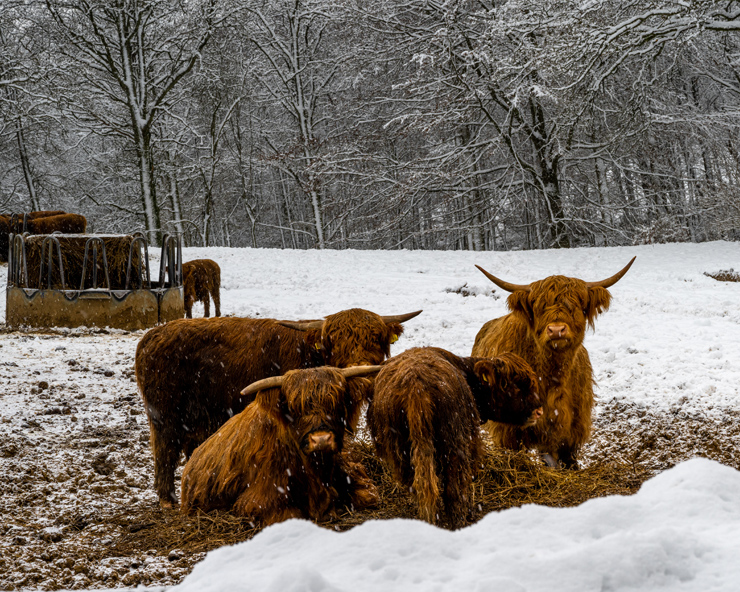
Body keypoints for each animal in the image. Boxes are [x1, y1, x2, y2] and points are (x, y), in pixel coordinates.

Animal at [135, 308, 420, 506]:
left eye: (377, 338)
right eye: (334, 342)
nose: (361, 370)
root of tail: (150, 336)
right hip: (164, 416)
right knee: (165, 451)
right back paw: (167, 500)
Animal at [368, 344, 540, 528]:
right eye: (514, 385)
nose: (539, 411)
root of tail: (416, 385)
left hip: (401, 451)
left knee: (420, 486)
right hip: (454, 445)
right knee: (454, 488)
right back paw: (460, 519)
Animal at [474, 256, 636, 470]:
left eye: (576, 305)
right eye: (539, 306)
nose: (557, 330)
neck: (553, 374)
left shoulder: (573, 425)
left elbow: (565, 457)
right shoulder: (509, 430)